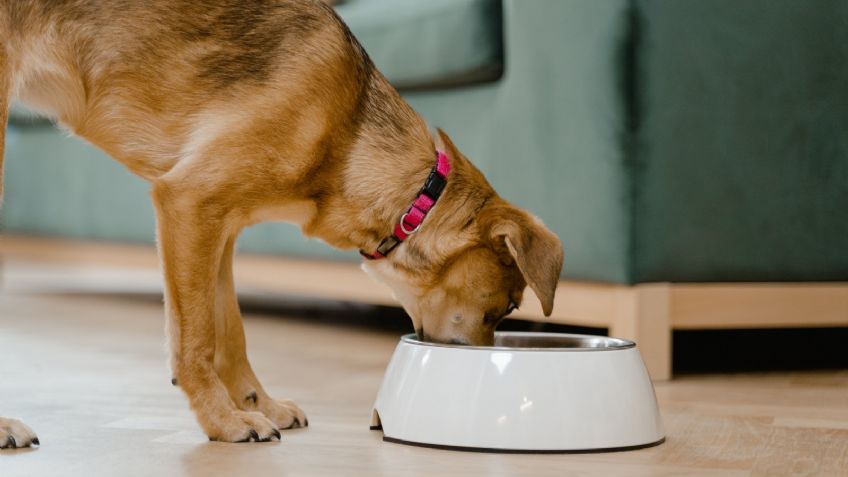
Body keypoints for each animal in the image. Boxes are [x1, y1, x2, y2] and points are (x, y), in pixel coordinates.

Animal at [0, 0, 564, 446]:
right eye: (504, 308)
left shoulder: (218, 229)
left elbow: (230, 332)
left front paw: (257, 405)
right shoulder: (188, 202)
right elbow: (197, 340)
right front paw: (223, 422)